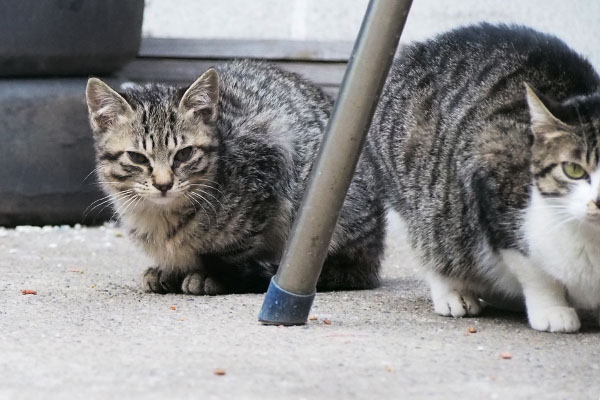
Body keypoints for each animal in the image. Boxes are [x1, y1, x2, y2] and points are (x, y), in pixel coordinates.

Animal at [84, 61, 384, 296]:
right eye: (137, 158)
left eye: (184, 154)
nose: (164, 184)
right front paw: (170, 270)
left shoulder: (272, 158)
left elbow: (238, 247)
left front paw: (214, 275)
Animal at [366, 23, 600, 332]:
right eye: (574, 169)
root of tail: (420, 49)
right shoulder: (490, 178)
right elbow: (534, 272)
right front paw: (552, 310)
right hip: (430, 202)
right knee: (432, 243)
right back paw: (453, 293)